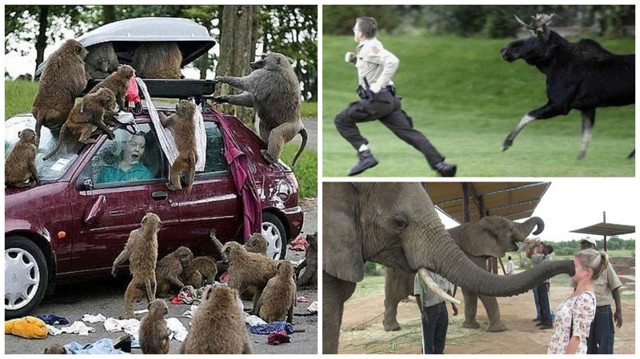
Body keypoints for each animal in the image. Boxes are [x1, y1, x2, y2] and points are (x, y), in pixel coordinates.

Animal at [384, 215, 544, 334]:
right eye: (510, 229)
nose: (536, 236)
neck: (477, 224)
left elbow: (470, 291)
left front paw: (470, 327)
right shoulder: (470, 253)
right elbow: (480, 288)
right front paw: (499, 330)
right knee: (394, 297)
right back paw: (393, 328)